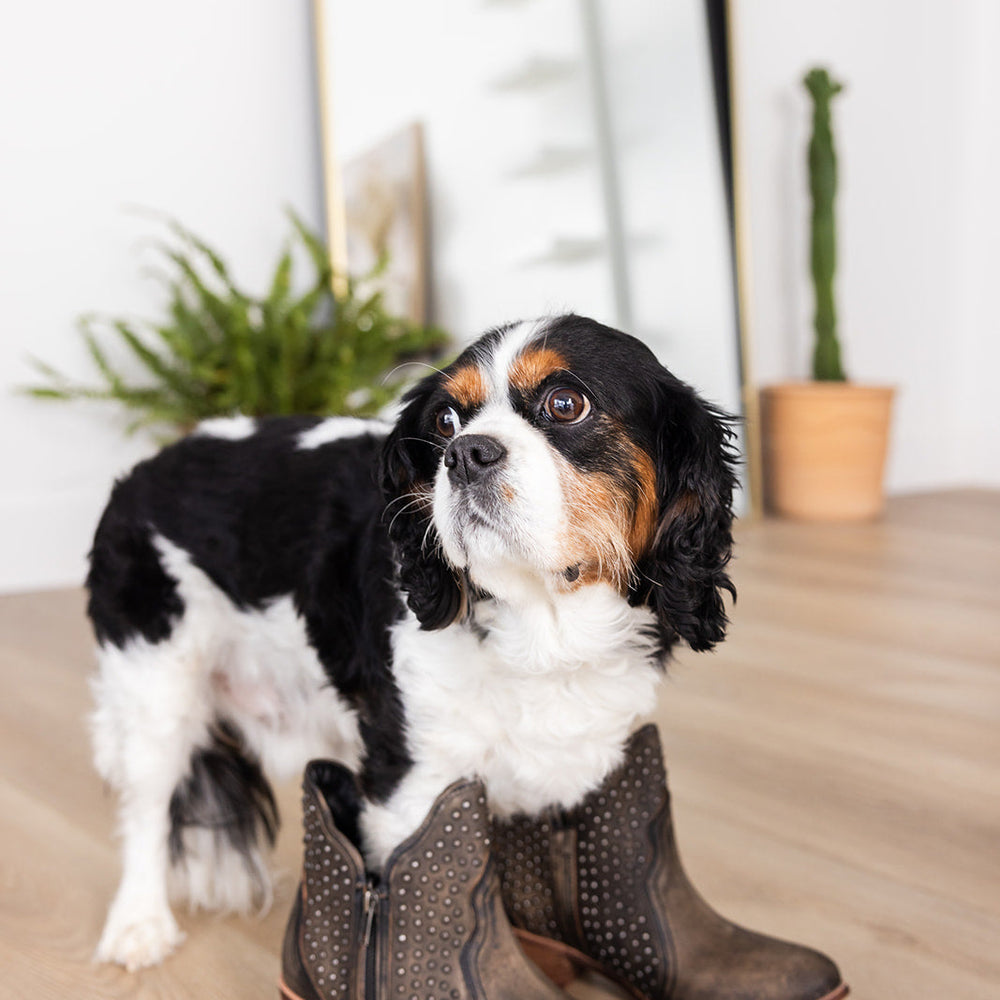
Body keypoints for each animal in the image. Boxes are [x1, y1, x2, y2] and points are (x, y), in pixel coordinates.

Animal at [88, 314, 736, 968]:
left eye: (566, 403)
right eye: (446, 421)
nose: (466, 453)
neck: (539, 630)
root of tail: (144, 468)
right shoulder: (411, 784)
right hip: (155, 684)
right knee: (147, 804)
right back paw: (139, 924)